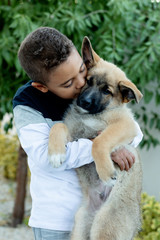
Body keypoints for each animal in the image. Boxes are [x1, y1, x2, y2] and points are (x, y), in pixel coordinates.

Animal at [47, 36, 142, 239]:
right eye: (88, 81)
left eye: (107, 91)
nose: (84, 101)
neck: (91, 115)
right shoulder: (74, 133)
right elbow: (58, 126)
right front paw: (56, 153)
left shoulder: (126, 125)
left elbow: (99, 141)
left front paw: (106, 172)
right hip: (80, 223)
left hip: (106, 225)